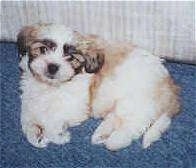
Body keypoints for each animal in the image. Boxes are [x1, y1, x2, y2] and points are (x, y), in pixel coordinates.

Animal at [17, 23, 180, 150]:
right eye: (43, 49)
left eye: (70, 57)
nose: (52, 67)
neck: (51, 87)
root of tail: (170, 86)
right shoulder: (30, 102)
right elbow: (26, 119)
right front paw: (35, 136)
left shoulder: (74, 107)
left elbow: (52, 121)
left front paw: (59, 136)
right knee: (118, 118)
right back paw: (101, 134)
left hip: (136, 100)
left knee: (134, 124)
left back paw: (115, 141)